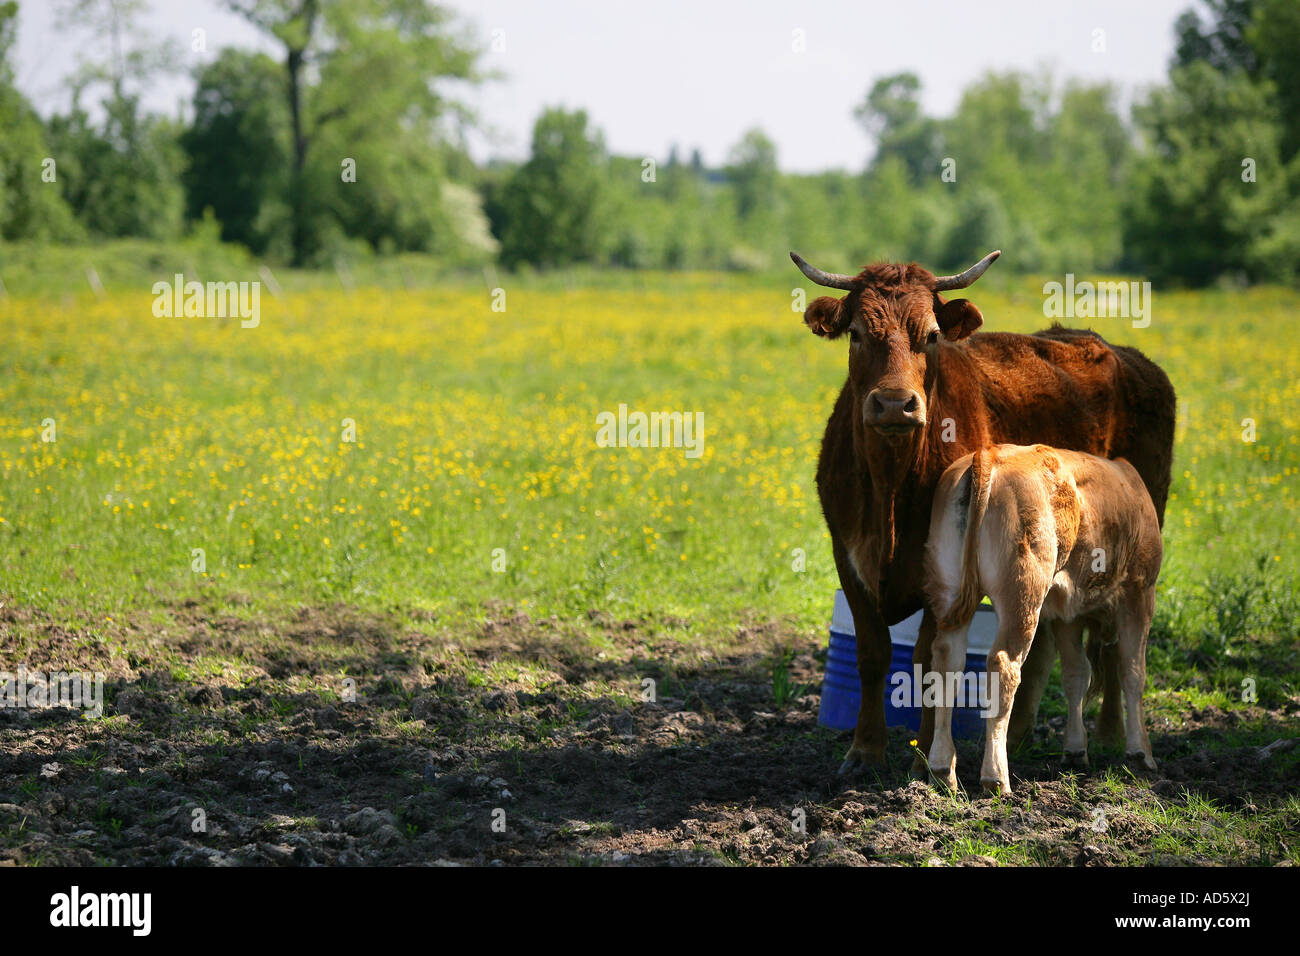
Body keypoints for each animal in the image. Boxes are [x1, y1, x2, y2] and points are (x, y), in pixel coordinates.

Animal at [923, 444, 1163, 794]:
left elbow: (1076, 674)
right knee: (1004, 665)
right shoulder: (1139, 593)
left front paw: (1075, 749)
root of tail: (992, 453)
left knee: (947, 662)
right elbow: (1133, 673)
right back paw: (996, 776)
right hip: (1023, 594)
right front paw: (1141, 753)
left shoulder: (1066, 611)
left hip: (949, 589)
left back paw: (943, 770)